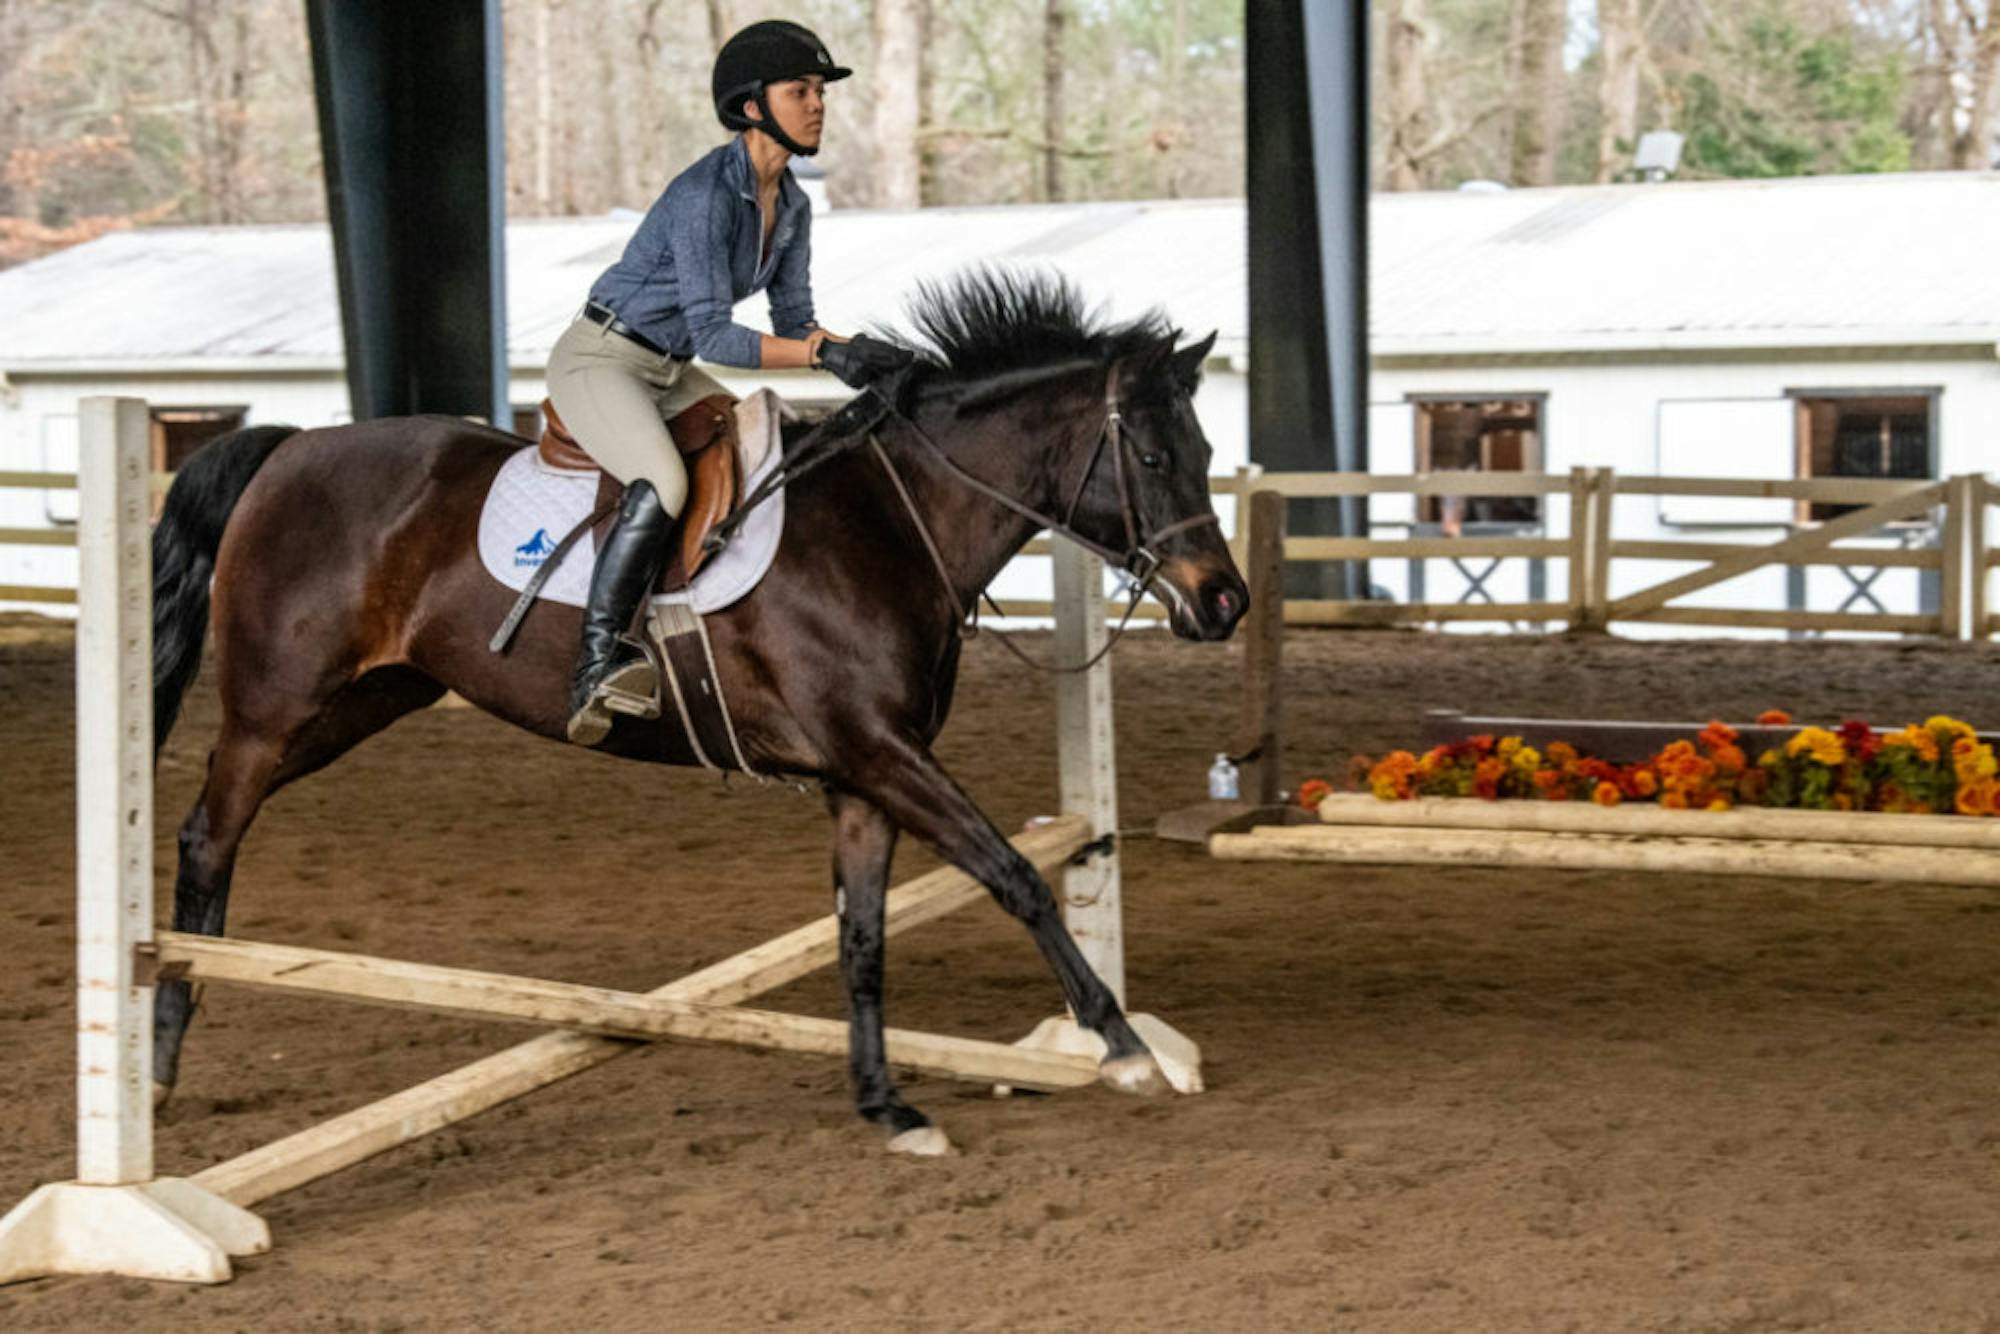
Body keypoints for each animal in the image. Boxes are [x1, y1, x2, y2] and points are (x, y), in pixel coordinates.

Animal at [148, 266, 1248, 1152]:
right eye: (1153, 459)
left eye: (1201, 450)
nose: (1224, 602)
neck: (893, 520)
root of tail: (290, 448)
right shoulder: (880, 751)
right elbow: (1015, 875)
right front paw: (1122, 1044)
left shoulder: (863, 776)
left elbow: (862, 937)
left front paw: (886, 1104)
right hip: (276, 707)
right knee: (207, 833)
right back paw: (159, 1049)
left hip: (365, 700)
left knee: (219, 828)